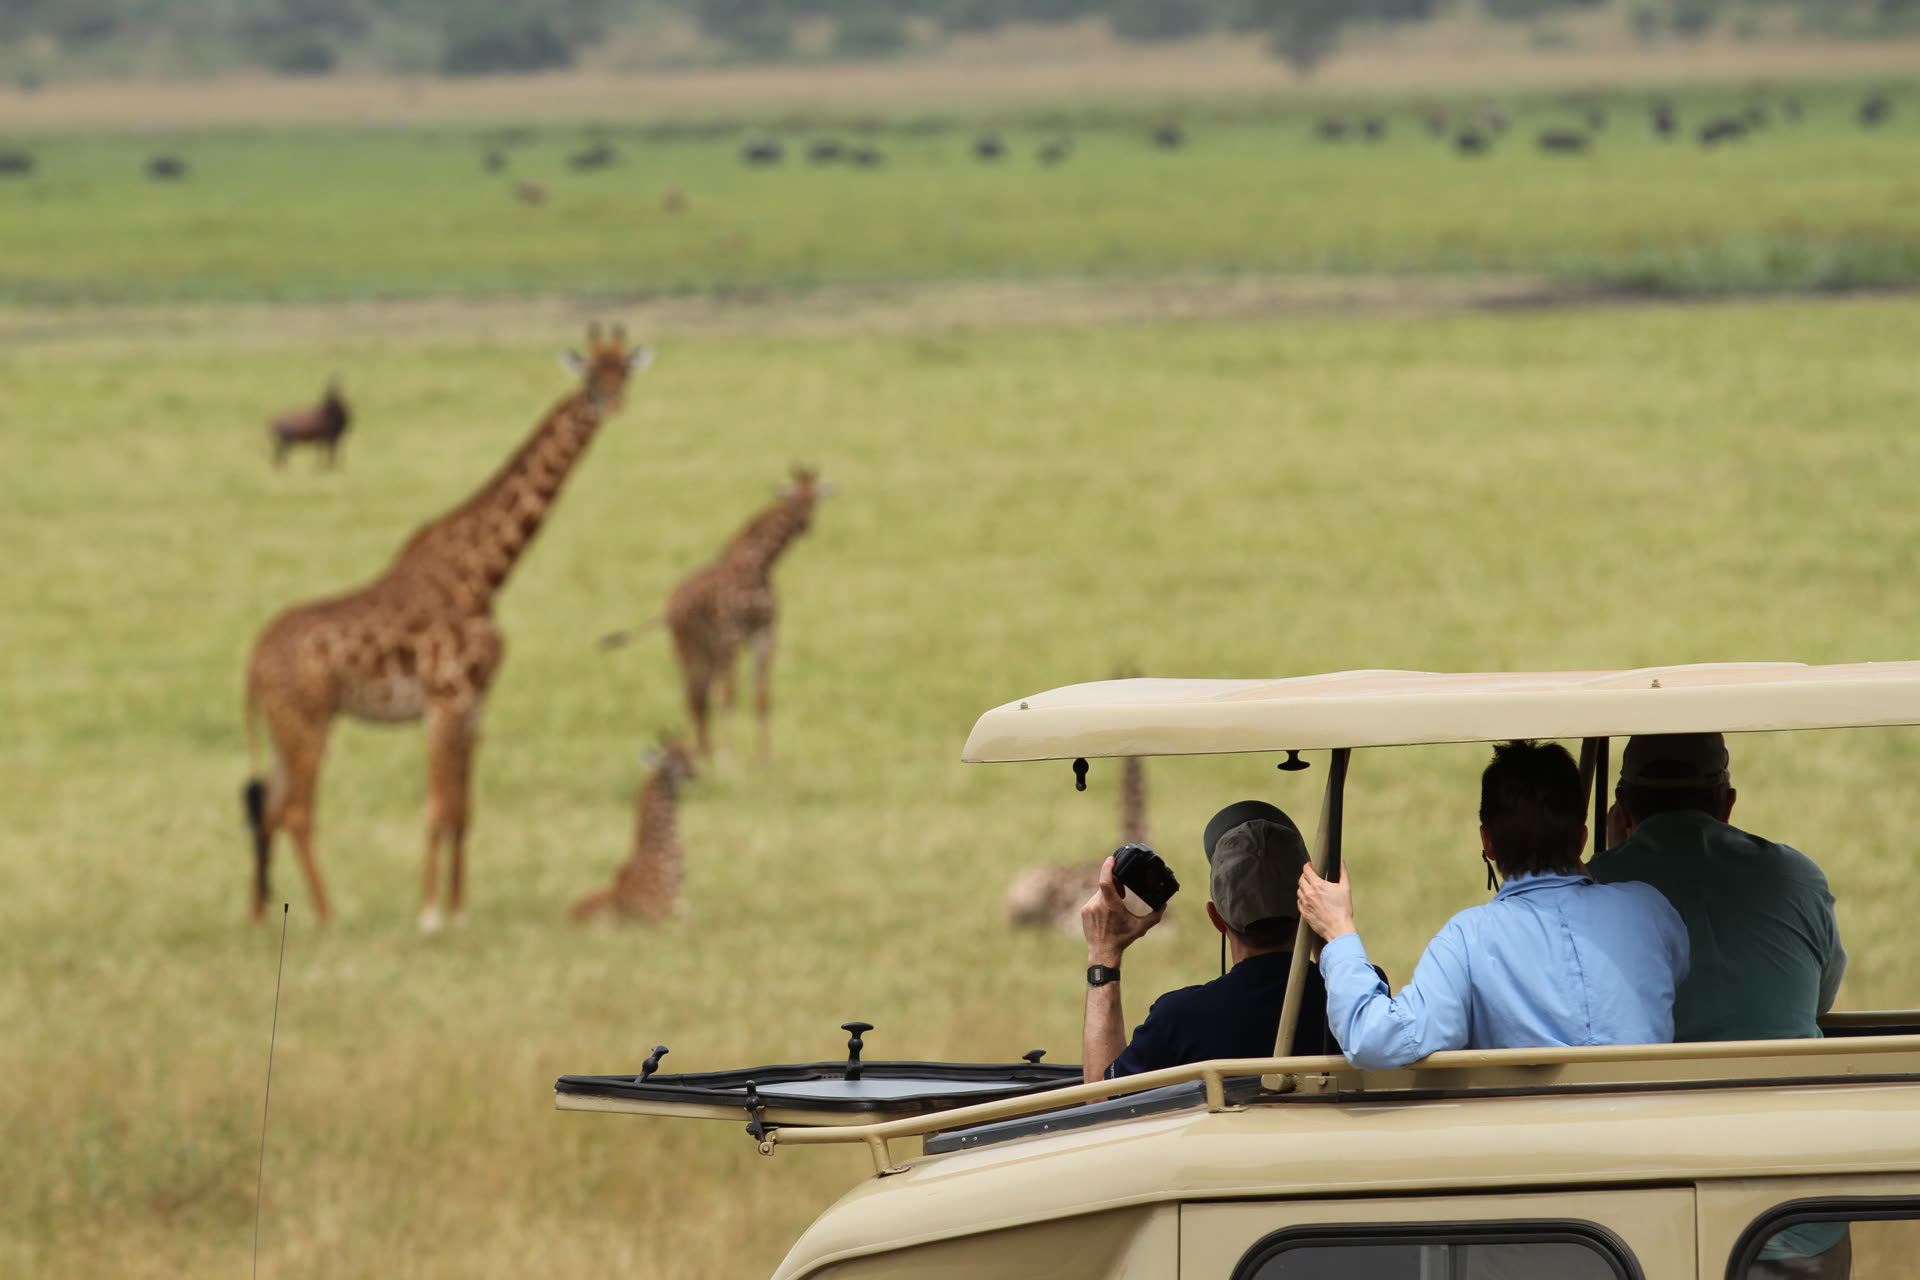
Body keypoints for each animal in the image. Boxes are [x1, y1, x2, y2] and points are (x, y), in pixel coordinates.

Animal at [241, 324, 654, 930]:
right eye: (591, 377)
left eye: (624, 372)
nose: (616, 406)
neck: (484, 574)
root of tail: (251, 663)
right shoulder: (444, 701)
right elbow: (438, 807)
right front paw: (430, 914)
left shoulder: (474, 705)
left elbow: (464, 808)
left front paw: (459, 911)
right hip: (308, 722)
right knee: (295, 810)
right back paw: (327, 915)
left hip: (283, 726)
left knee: (269, 808)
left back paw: (260, 917)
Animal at [569, 733, 697, 924]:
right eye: (668, 761)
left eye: (689, 754)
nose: (692, 773)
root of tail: (567, 918)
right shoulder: (664, 915)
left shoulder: (681, 908)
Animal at [603, 466, 825, 765]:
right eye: (792, 499)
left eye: (816, 499)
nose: (805, 525)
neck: (758, 566)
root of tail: (669, 604)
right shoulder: (731, 633)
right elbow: (729, 694)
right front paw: (727, 757)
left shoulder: (765, 632)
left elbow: (762, 695)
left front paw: (765, 758)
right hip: (688, 647)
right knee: (694, 697)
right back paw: (703, 754)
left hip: (708, 650)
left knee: (702, 698)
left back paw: (704, 752)